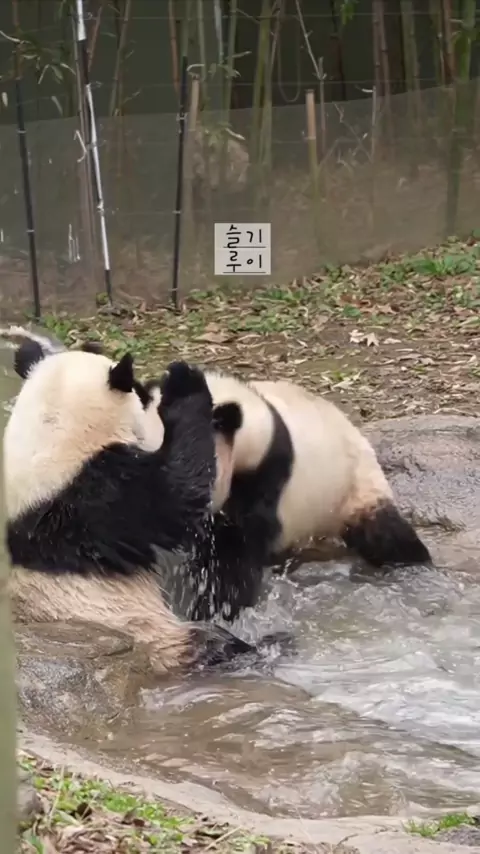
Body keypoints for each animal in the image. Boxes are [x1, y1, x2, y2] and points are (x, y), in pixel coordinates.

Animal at [3, 340, 275, 676]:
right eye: (140, 392)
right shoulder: (102, 497)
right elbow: (176, 494)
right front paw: (183, 383)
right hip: (154, 636)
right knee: (211, 644)